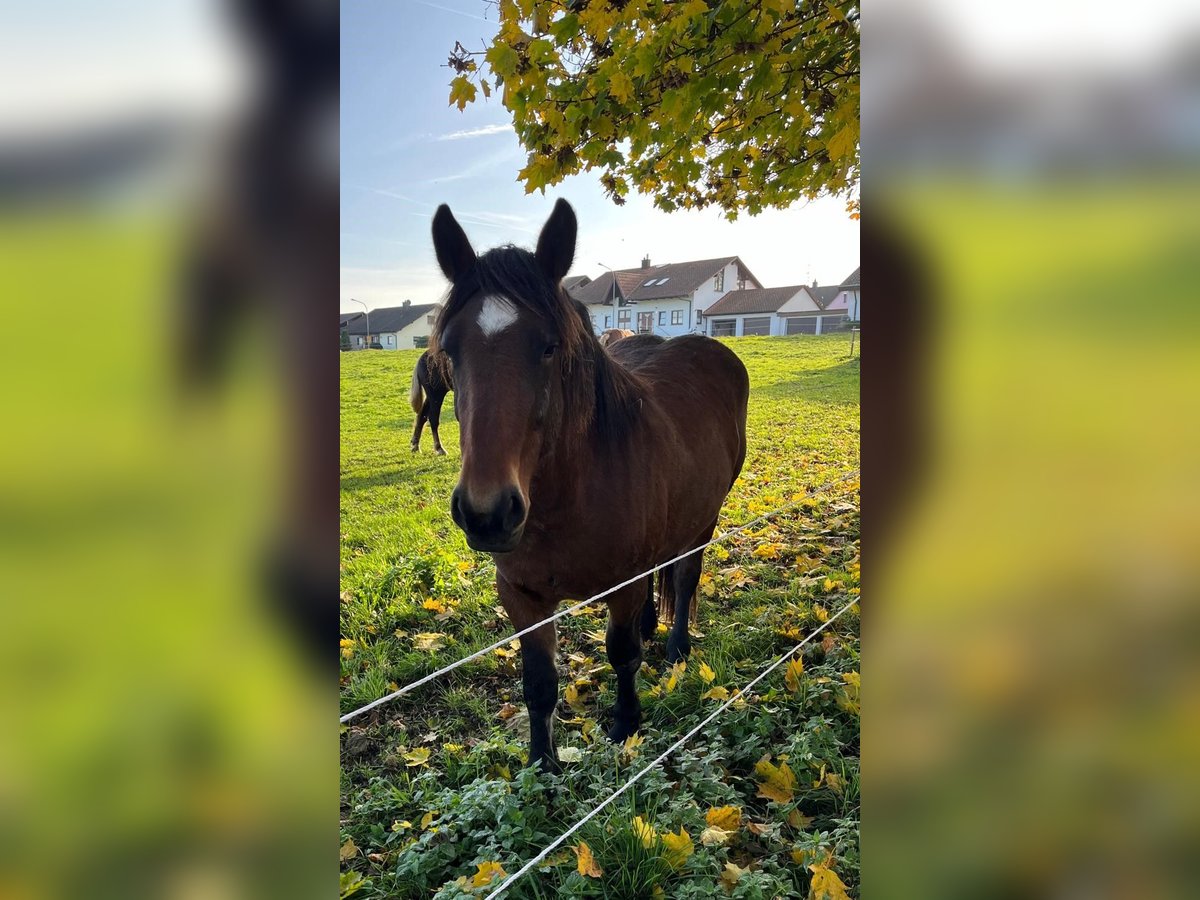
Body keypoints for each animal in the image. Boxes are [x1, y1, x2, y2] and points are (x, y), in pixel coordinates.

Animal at [427, 200, 744, 772]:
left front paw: (626, 725)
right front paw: (542, 763)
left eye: (549, 347)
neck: (564, 502)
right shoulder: (521, 594)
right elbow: (539, 683)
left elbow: (621, 655)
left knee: (684, 578)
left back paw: (677, 647)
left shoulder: (621, 584)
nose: (487, 513)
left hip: (704, 521)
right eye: (449, 348)